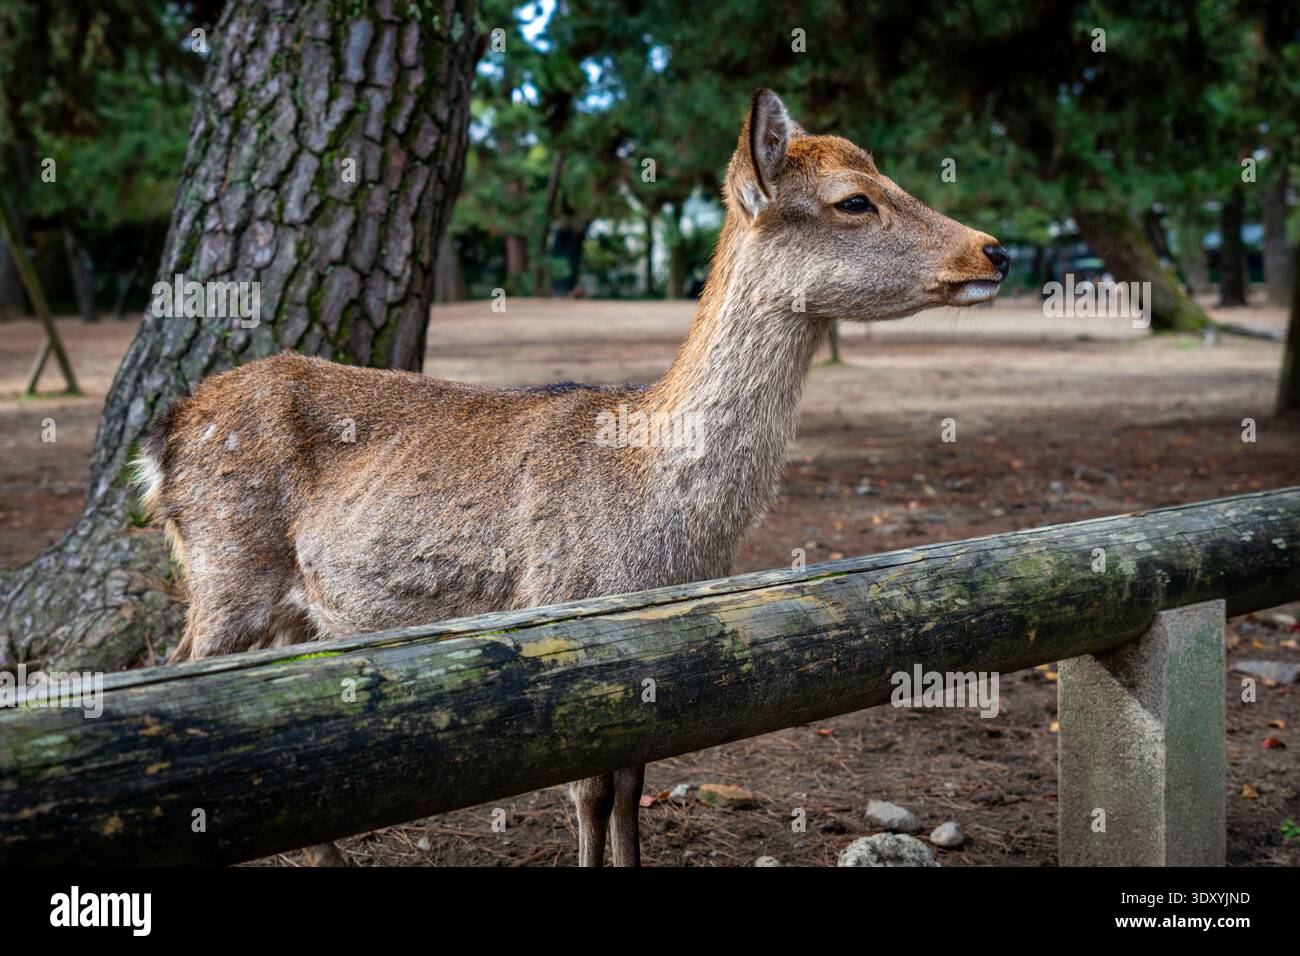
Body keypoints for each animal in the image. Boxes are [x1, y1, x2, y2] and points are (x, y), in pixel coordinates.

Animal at [134, 88, 1008, 867]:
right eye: (854, 199)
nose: (993, 249)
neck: (660, 512)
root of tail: (165, 434)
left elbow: (631, 789)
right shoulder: (565, 613)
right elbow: (588, 793)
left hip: (290, 604)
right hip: (228, 567)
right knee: (175, 680)